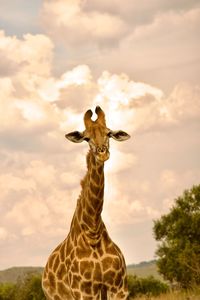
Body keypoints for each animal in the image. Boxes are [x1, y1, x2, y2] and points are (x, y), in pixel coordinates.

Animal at [41, 106, 130, 298]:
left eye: (109, 133)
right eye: (86, 138)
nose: (102, 153)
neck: (93, 231)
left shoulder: (119, 288)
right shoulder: (84, 291)